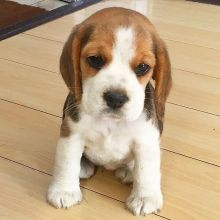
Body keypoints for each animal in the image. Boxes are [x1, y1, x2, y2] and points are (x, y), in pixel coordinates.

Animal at [47, 7, 172, 217]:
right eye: (95, 59)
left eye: (143, 67)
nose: (115, 98)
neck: (111, 122)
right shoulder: (71, 134)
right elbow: (66, 162)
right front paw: (64, 191)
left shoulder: (146, 140)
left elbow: (146, 170)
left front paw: (145, 198)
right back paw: (83, 167)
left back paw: (129, 170)